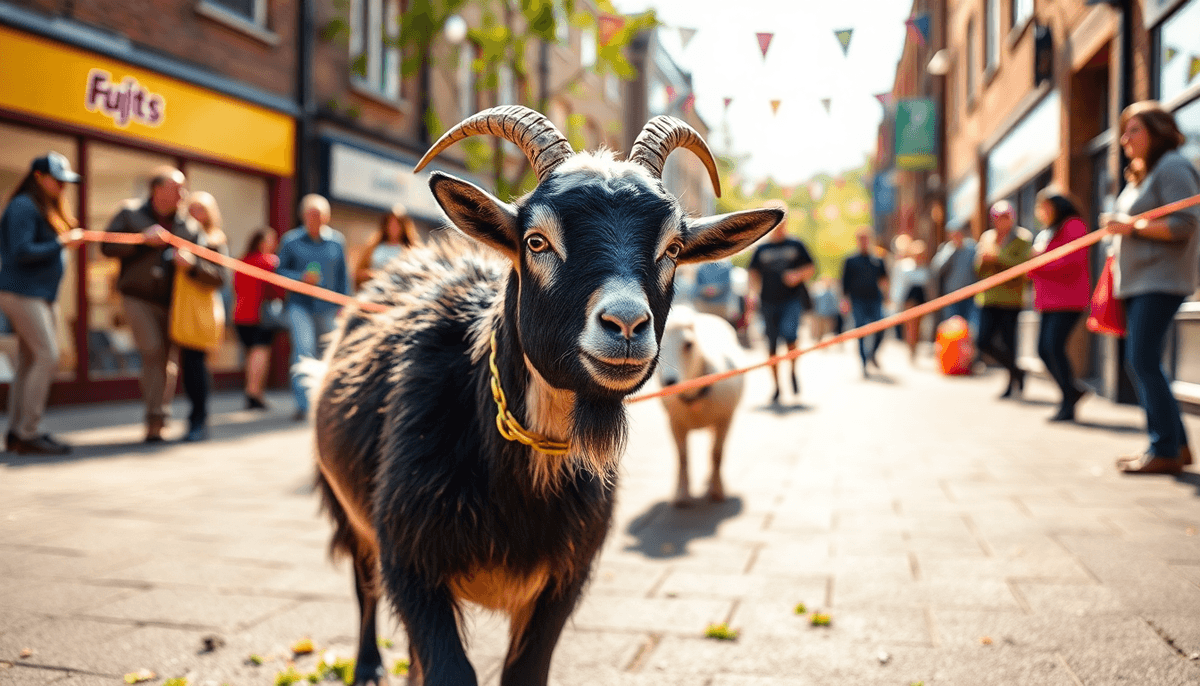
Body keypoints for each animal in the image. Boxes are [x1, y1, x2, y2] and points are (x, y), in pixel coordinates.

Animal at [657, 305, 746, 507]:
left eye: (689, 344)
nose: (670, 382)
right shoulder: (674, 422)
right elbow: (682, 458)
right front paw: (682, 495)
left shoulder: (725, 419)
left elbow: (716, 454)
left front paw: (717, 491)